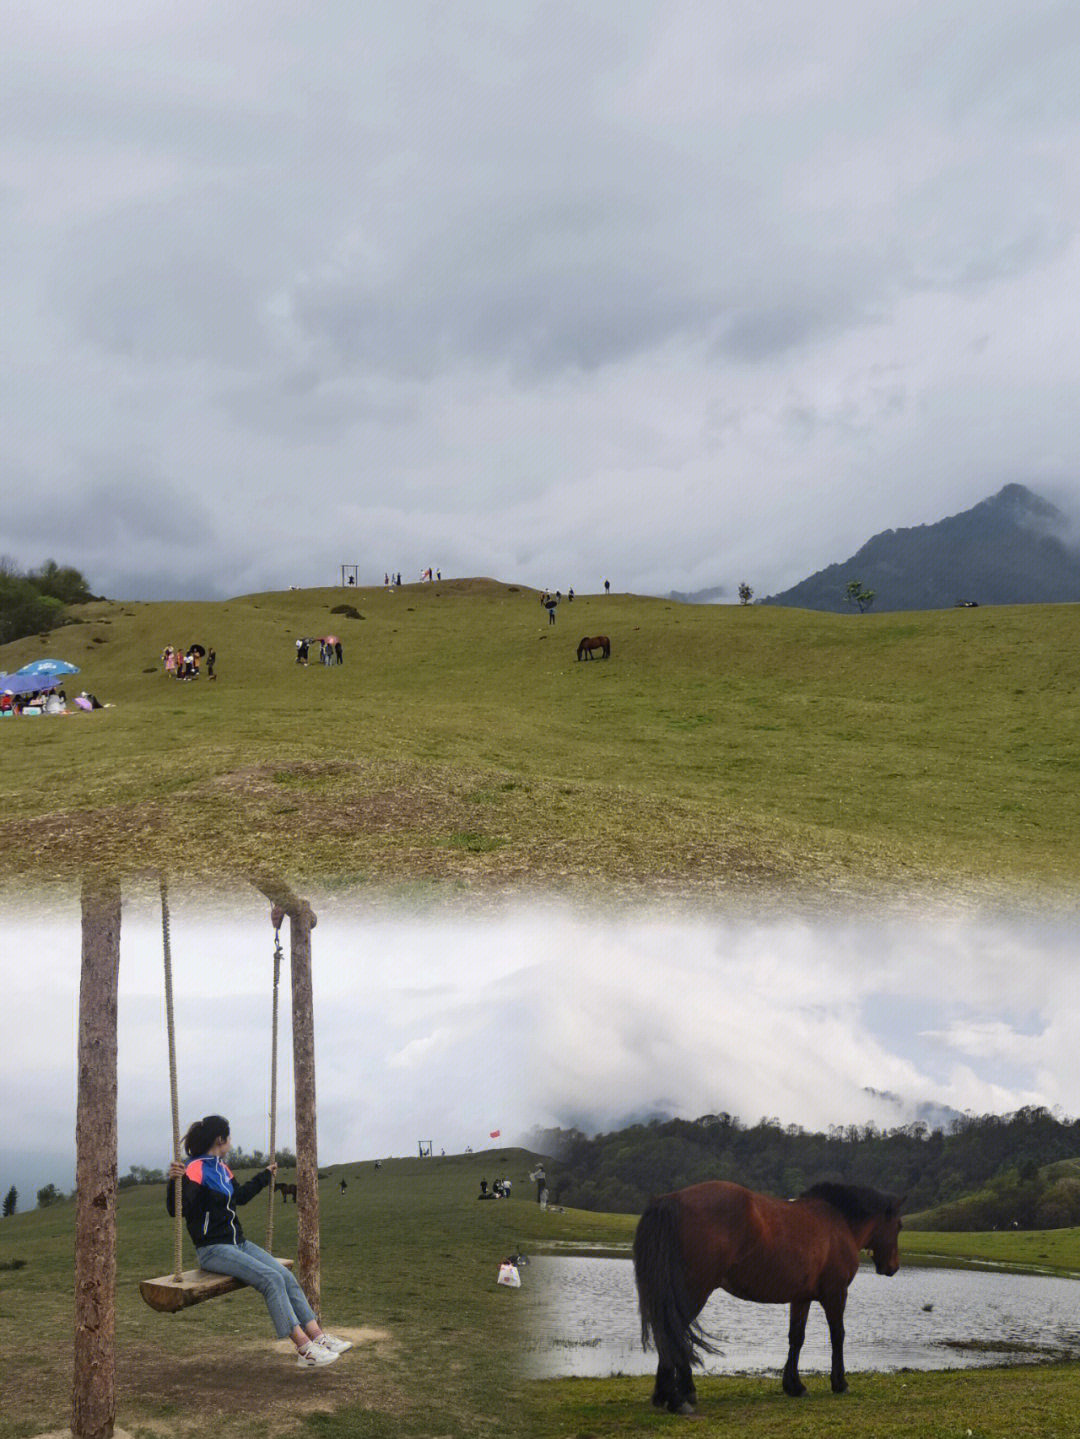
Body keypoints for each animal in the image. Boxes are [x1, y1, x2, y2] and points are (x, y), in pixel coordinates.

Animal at [632, 1179, 903, 1415]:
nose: (893, 1267)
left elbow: (796, 1338)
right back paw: (678, 1398)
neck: (838, 1223)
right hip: (693, 1291)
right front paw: (840, 1383)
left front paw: (794, 1386)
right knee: (671, 1334)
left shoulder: (801, 1298)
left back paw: (667, 1395)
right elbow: (838, 1336)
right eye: (899, 1226)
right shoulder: (836, 1294)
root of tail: (670, 1199)